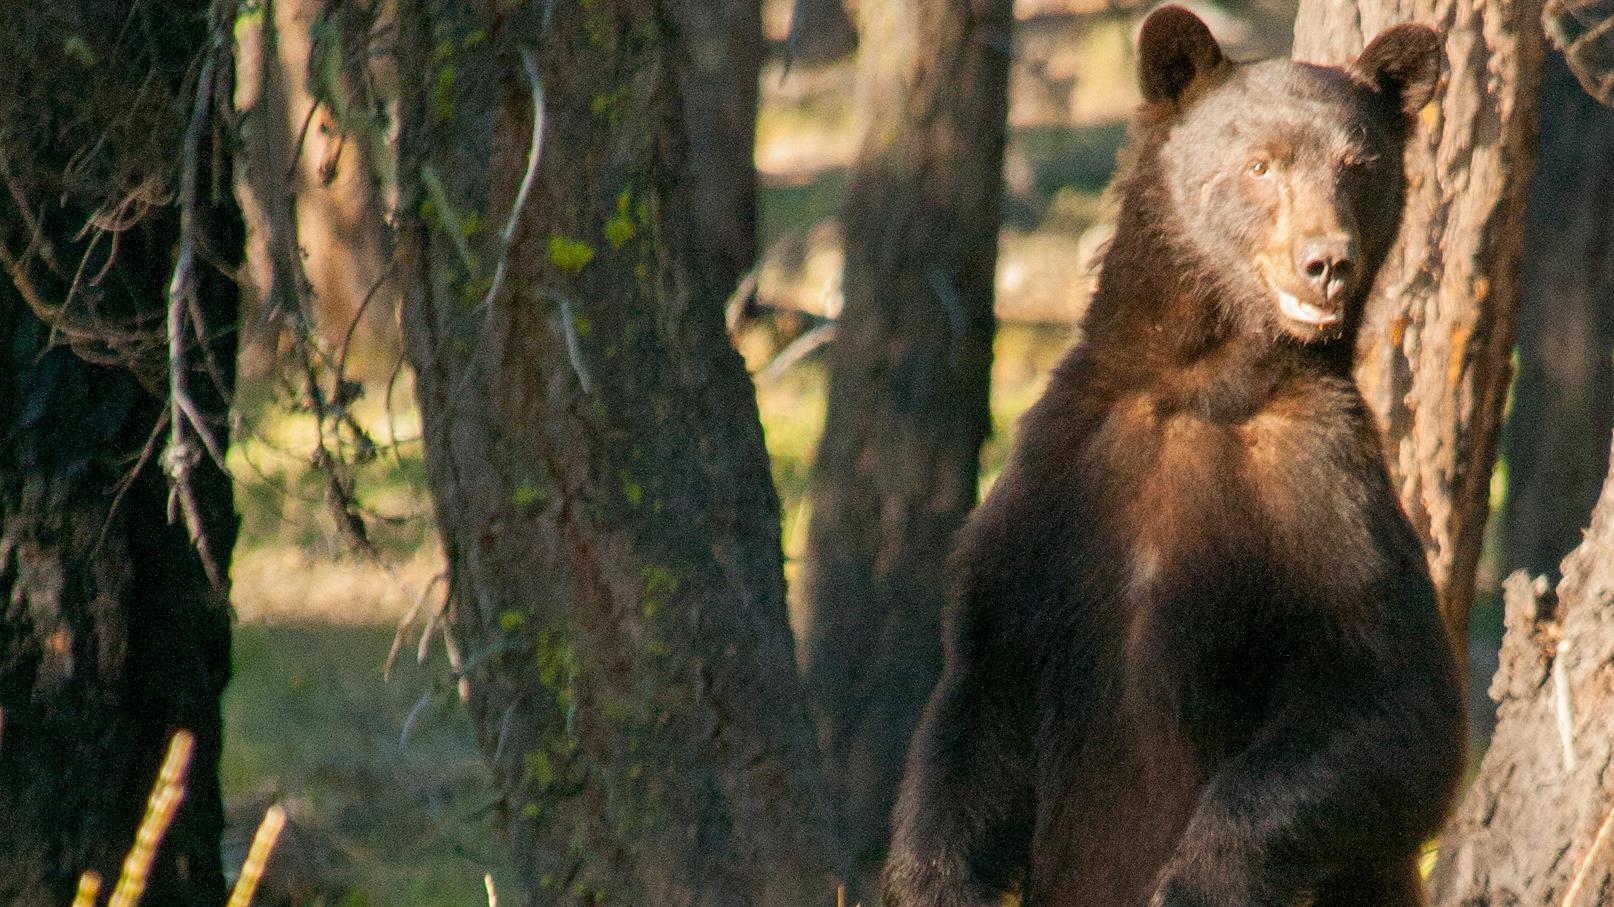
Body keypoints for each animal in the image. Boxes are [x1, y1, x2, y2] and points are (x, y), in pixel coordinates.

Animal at [879, 8, 1463, 907]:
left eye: (1359, 166)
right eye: (1260, 163)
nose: (1327, 262)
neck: (1201, 381)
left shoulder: (1323, 490)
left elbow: (1397, 704)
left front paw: (1196, 879)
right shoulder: (1055, 485)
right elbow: (976, 697)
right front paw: (933, 881)